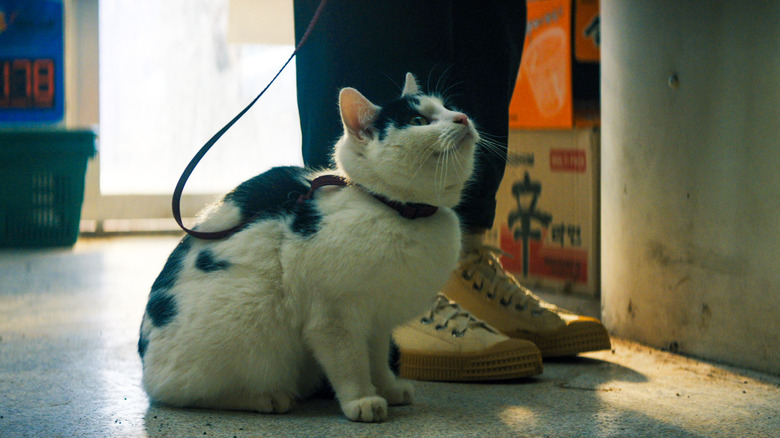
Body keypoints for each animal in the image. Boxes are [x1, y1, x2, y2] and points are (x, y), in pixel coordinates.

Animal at [141, 73, 482, 422]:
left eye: (447, 107)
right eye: (417, 121)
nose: (462, 118)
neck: (397, 209)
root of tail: (146, 365)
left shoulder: (377, 323)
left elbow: (377, 360)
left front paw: (388, 388)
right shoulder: (334, 317)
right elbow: (350, 364)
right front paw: (362, 401)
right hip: (247, 323)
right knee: (189, 394)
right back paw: (267, 398)